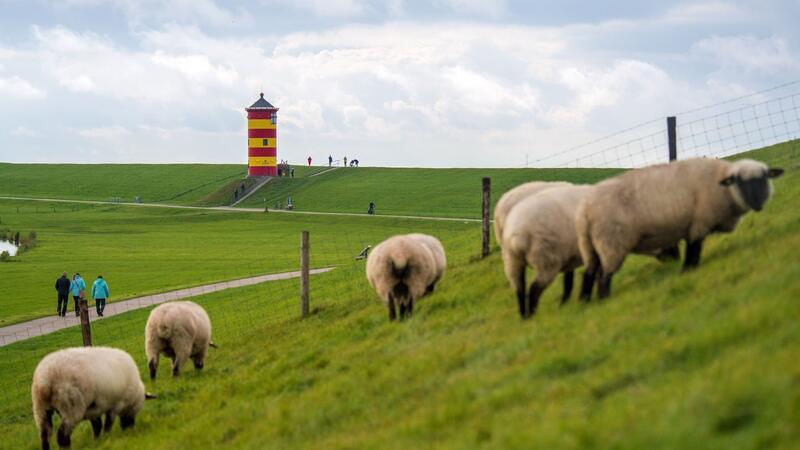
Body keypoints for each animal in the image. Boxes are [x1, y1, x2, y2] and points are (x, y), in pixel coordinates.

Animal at [502, 184, 593, 318]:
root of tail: (517, 234)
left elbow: (568, 280)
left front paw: (565, 303)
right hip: (546, 258)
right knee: (534, 289)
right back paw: (532, 316)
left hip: (513, 260)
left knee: (519, 289)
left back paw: (524, 317)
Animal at [576, 158, 784, 300]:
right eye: (739, 181)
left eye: (764, 179)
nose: (758, 204)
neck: (721, 184)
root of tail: (585, 211)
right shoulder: (699, 223)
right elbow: (694, 249)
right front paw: (688, 270)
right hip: (611, 243)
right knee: (603, 276)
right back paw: (604, 299)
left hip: (590, 246)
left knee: (589, 272)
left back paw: (586, 302)